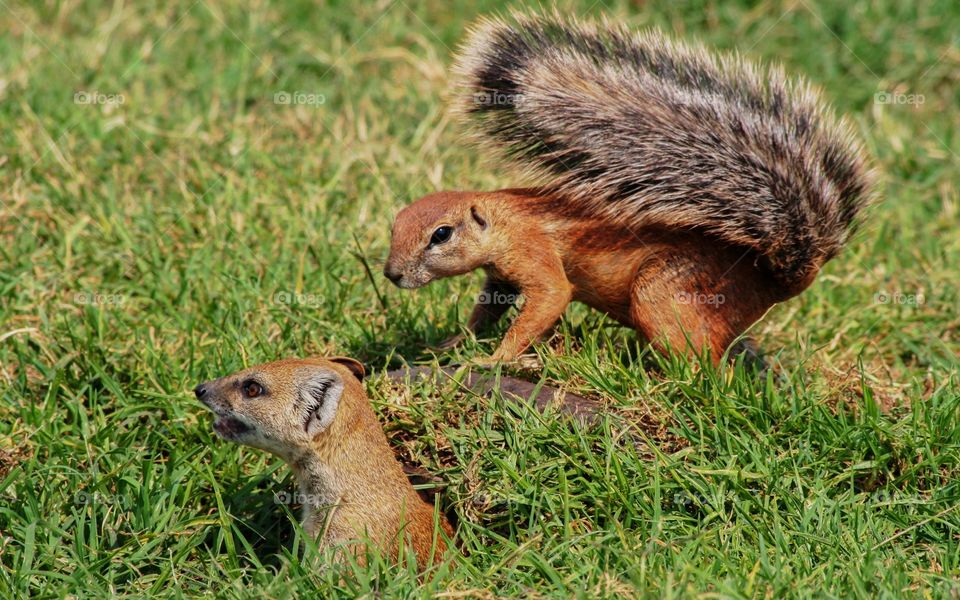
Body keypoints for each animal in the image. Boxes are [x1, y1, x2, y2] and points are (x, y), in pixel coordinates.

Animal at [383, 12, 872, 365]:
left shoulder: (531, 250)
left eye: (441, 234)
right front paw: (452, 343)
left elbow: (548, 298)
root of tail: (773, 280)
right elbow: (487, 310)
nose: (391, 274)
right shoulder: (499, 276)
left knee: (705, 369)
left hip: (662, 293)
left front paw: (494, 361)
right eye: (395, 224)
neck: (501, 216)